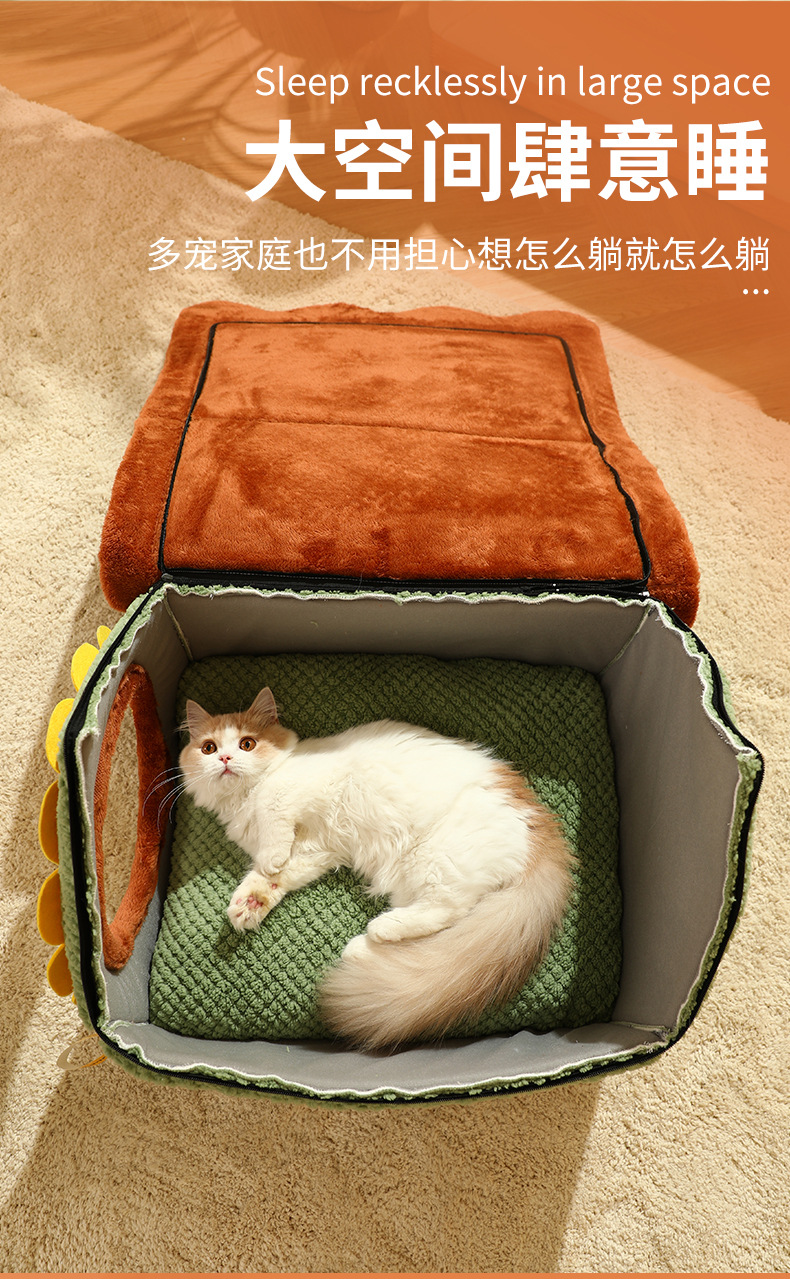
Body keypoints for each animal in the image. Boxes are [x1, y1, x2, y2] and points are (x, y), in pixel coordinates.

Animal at [178, 686, 575, 1051]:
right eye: (209, 748)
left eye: (246, 744)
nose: (226, 758)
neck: (242, 802)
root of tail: (543, 826)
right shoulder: (317, 850)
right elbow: (271, 879)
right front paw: (248, 905)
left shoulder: (294, 794)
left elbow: (273, 822)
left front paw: (270, 857)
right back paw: (363, 948)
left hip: (435, 859)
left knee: (448, 912)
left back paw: (377, 931)